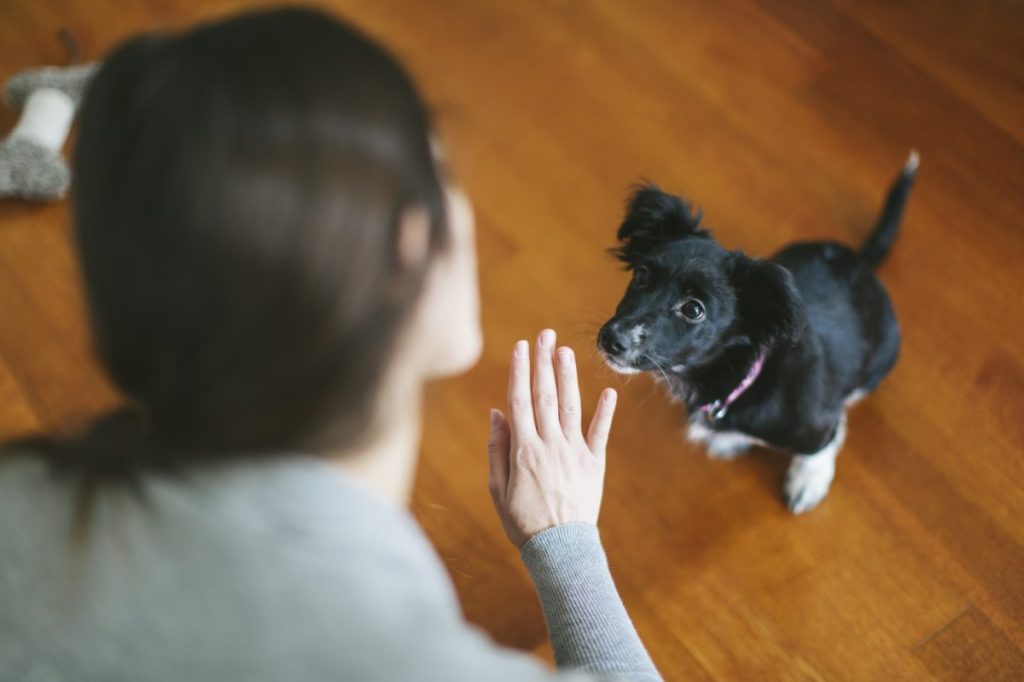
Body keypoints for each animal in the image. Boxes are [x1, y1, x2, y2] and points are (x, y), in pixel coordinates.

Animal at [598, 152, 917, 509]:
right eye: (640, 276)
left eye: (694, 309)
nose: (612, 340)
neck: (741, 378)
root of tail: (861, 262)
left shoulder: (817, 421)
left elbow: (818, 447)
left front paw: (808, 481)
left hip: (883, 357)